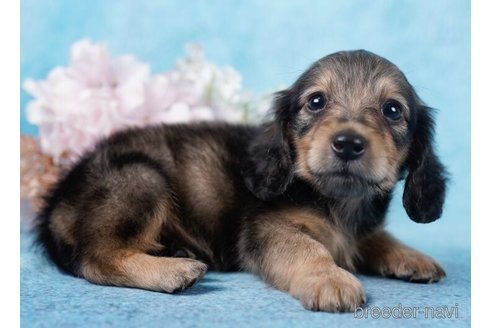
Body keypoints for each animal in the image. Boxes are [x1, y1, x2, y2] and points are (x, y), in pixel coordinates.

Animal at [37, 49, 446, 312]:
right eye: (316, 102)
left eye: (392, 110)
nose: (348, 143)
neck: (338, 201)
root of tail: (57, 202)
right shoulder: (267, 229)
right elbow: (309, 249)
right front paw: (330, 278)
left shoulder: (360, 229)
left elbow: (378, 237)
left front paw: (413, 257)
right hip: (142, 176)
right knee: (96, 258)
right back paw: (174, 270)